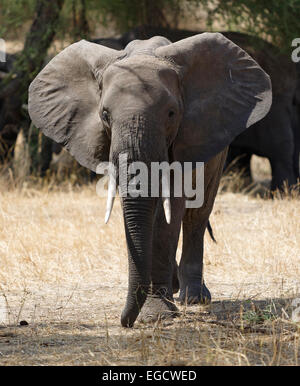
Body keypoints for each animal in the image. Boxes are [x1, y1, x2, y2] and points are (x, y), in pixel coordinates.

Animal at [28, 34, 272, 328]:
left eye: (171, 113)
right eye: (105, 115)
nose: (124, 321)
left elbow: (171, 209)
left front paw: (155, 315)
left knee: (198, 213)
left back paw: (193, 298)